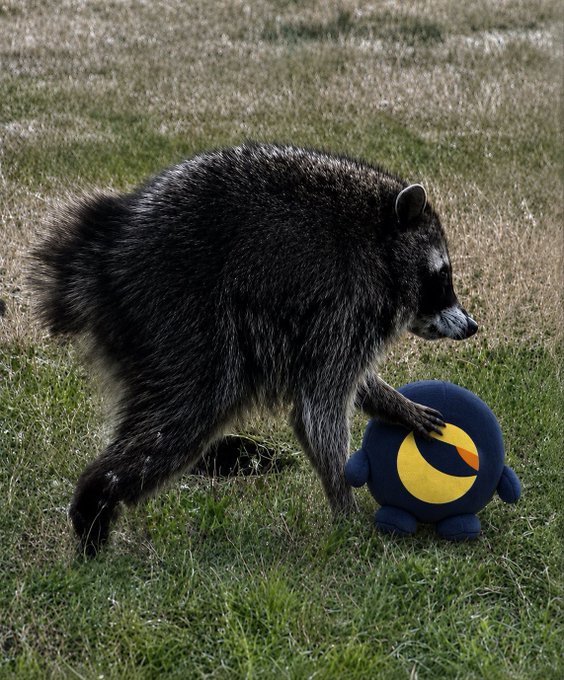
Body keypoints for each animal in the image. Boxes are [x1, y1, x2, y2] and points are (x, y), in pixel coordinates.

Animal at [31, 142, 477, 555]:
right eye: (443, 276)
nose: (472, 326)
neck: (380, 241)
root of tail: (105, 249)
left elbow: (344, 383)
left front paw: (396, 404)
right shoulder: (346, 302)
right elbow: (319, 410)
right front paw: (345, 506)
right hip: (181, 314)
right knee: (183, 415)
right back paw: (95, 501)